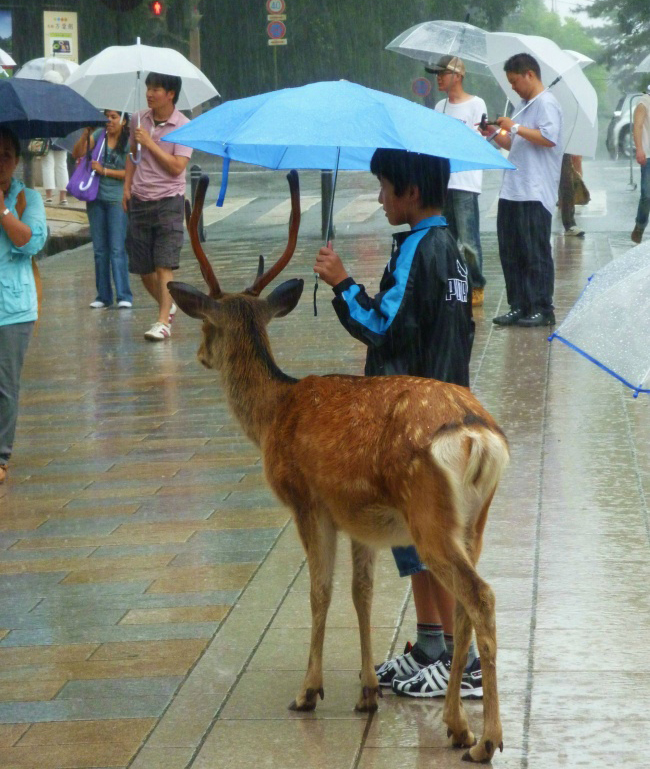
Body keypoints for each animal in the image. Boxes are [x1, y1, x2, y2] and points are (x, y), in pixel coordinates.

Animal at [166, 171, 506, 764]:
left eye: (207, 327)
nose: (201, 356)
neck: (273, 413)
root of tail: (477, 434)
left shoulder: (308, 501)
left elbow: (320, 592)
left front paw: (309, 691)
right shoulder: (360, 519)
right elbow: (361, 593)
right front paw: (367, 691)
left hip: (430, 517)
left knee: (480, 598)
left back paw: (485, 739)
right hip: (473, 520)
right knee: (464, 604)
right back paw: (455, 726)